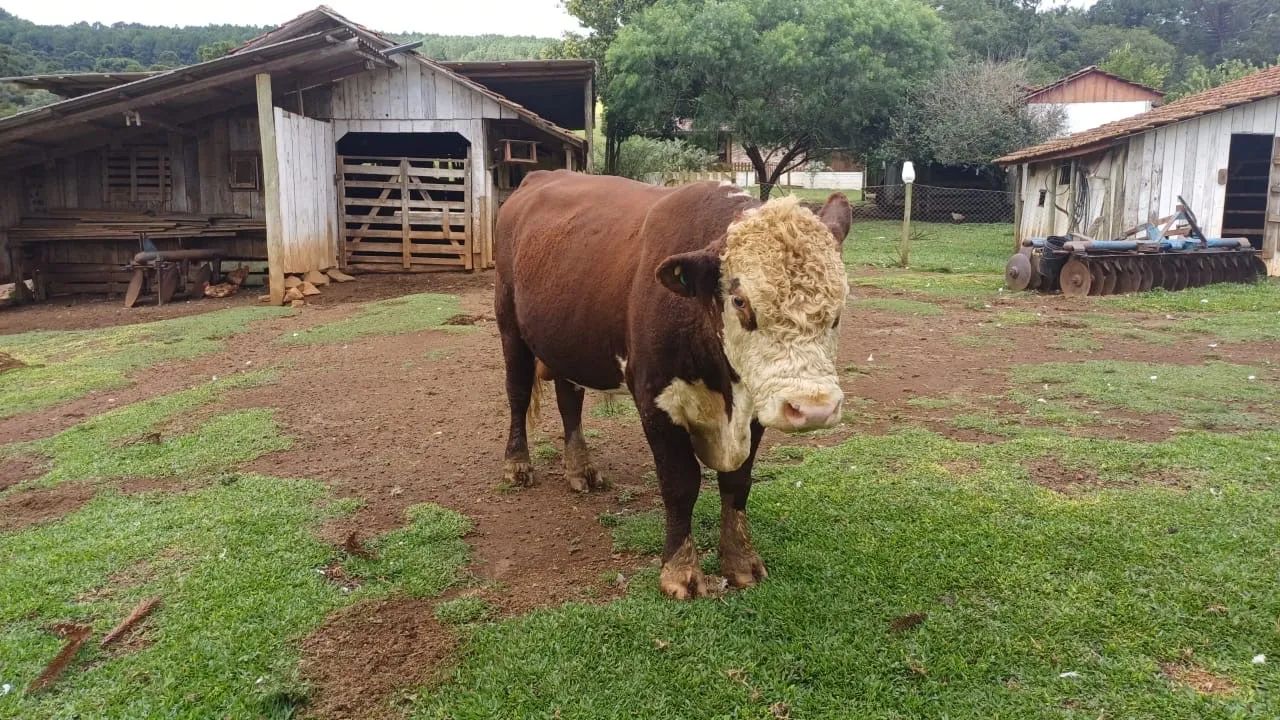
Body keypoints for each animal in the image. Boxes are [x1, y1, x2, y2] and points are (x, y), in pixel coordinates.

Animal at [494, 170, 851, 599]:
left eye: (839, 305)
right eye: (740, 300)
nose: (814, 407)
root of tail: (539, 177)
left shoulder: (755, 402)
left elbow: (738, 483)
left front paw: (741, 562)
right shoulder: (656, 401)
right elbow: (680, 484)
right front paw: (680, 571)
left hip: (567, 342)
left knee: (569, 402)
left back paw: (581, 469)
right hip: (509, 325)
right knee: (516, 395)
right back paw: (517, 465)